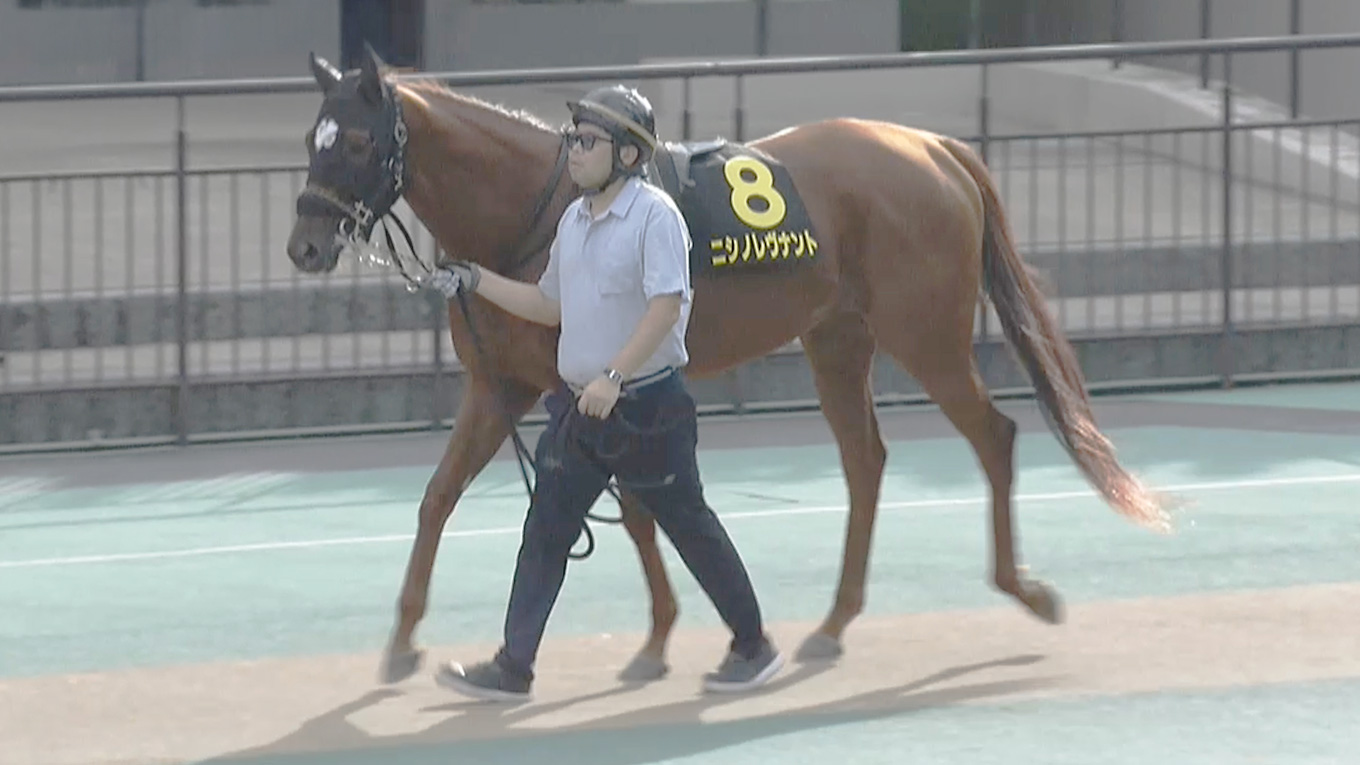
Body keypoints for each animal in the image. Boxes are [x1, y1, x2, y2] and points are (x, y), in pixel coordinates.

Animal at [286, 46, 1174, 685]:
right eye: (311, 138)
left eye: (358, 140)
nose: (304, 246)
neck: (537, 208)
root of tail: (933, 147)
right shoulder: (498, 387)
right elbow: (441, 498)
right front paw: (404, 636)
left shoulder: (581, 390)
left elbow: (631, 506)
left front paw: (658, 635)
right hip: (838, 338)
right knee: (866, 459)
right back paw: (834, 621)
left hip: (928, 336)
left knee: (992, 435)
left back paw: (1024, 588)